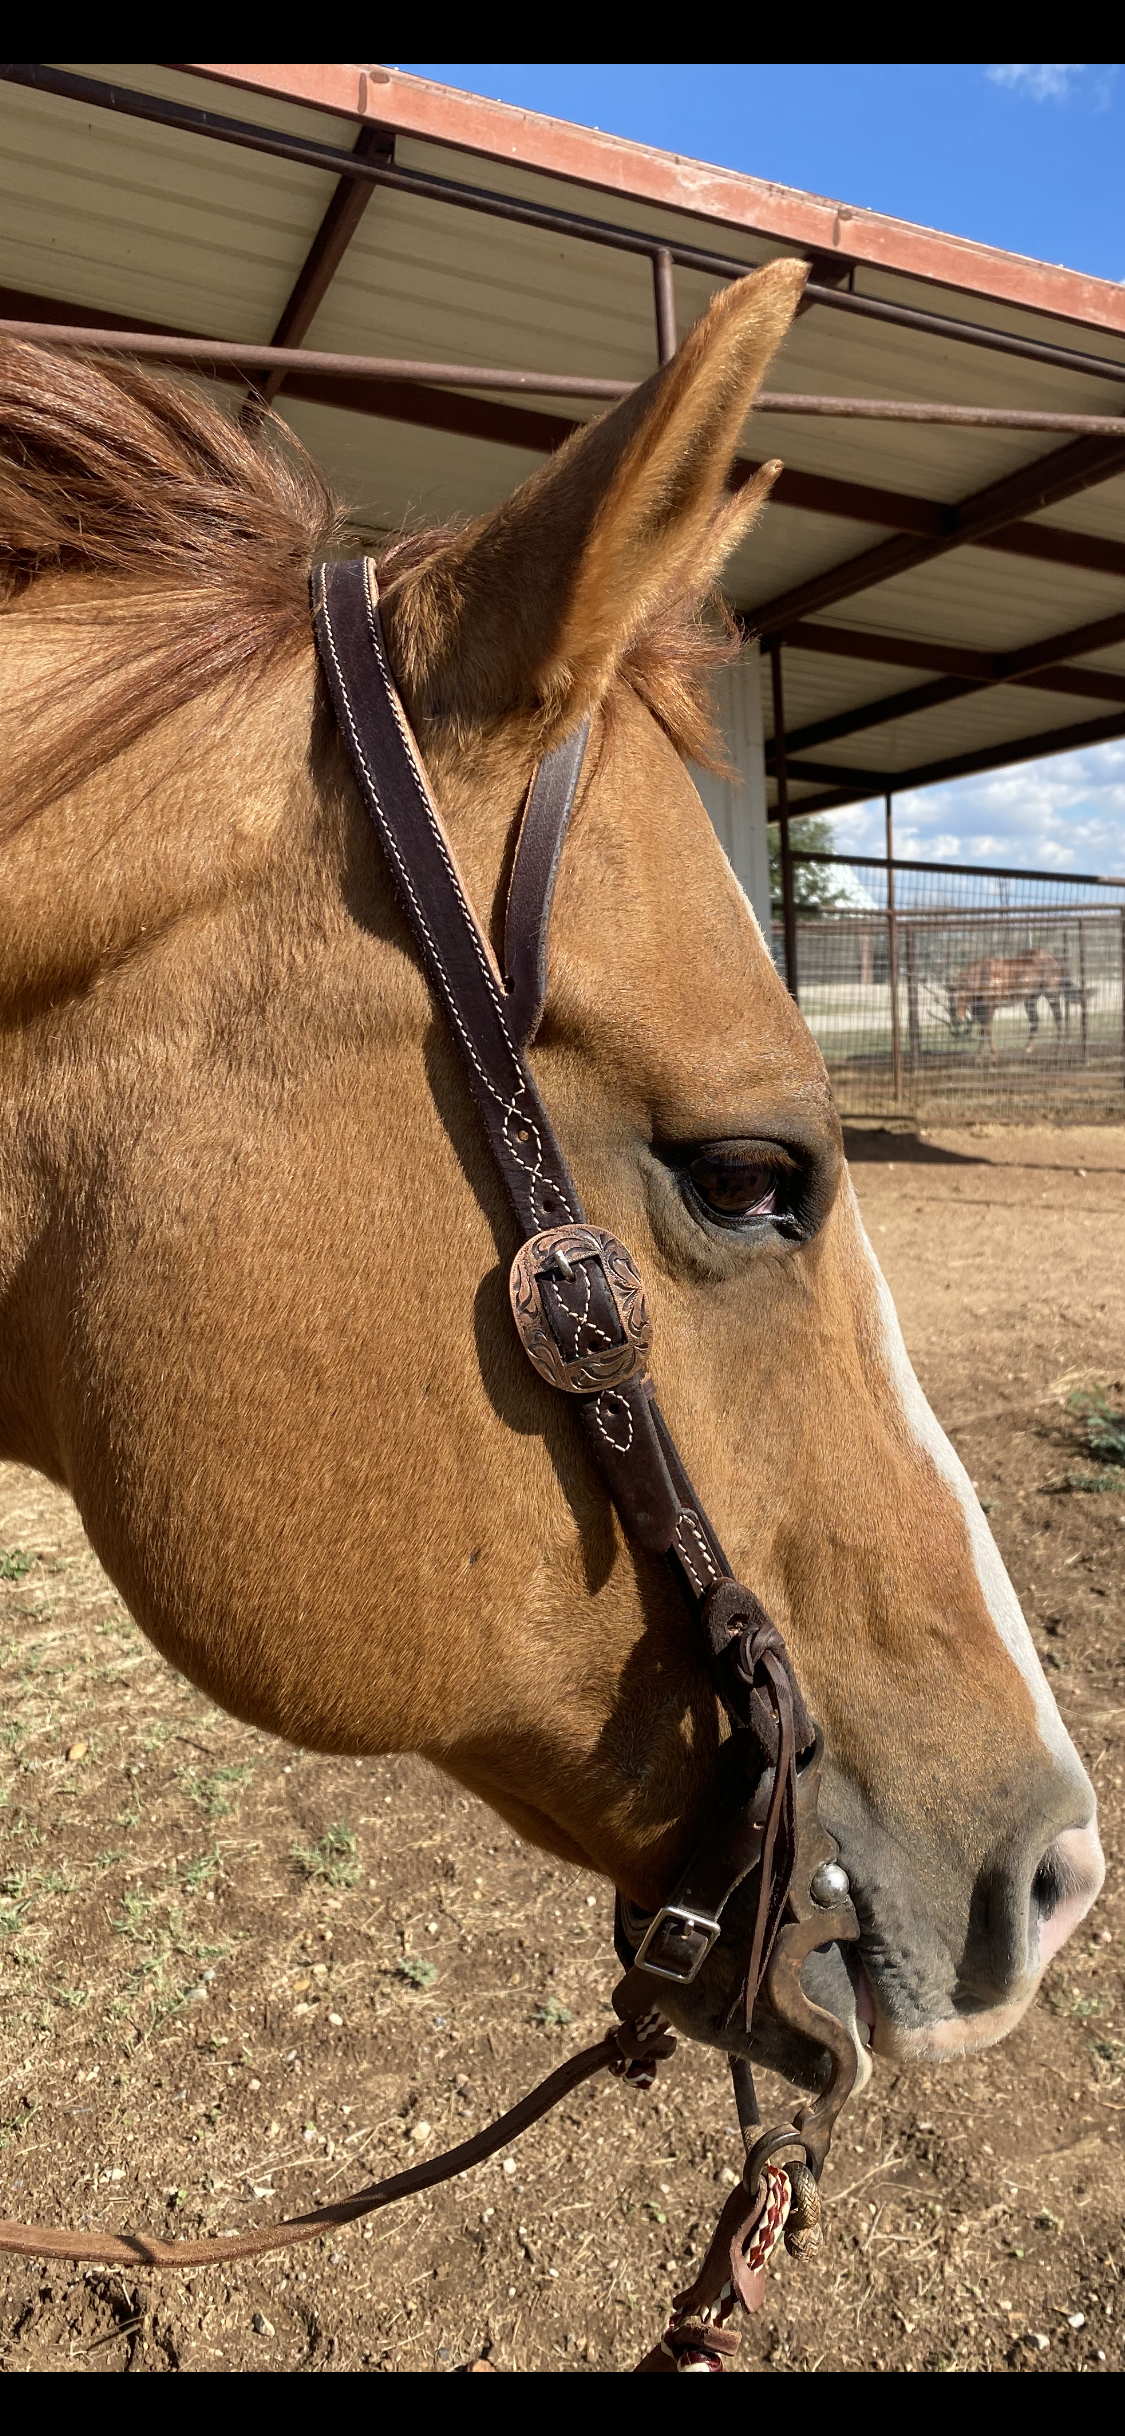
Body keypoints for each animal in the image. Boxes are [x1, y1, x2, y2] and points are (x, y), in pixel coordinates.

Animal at [949, 945, 1081, 1052]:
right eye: (950, 1000)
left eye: (962, 997)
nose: (957, 1021)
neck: (982, 975)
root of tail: (1053, 958)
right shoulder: (979, 1009)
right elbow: (984, 1030)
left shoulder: (989, 1008)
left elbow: (985, 1030)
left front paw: (990, 1054)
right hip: (1030, 999)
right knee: (1035, 1020)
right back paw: (1028, 1047)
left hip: (1052, 995)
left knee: (1058, 1017)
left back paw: (1059, 1047)